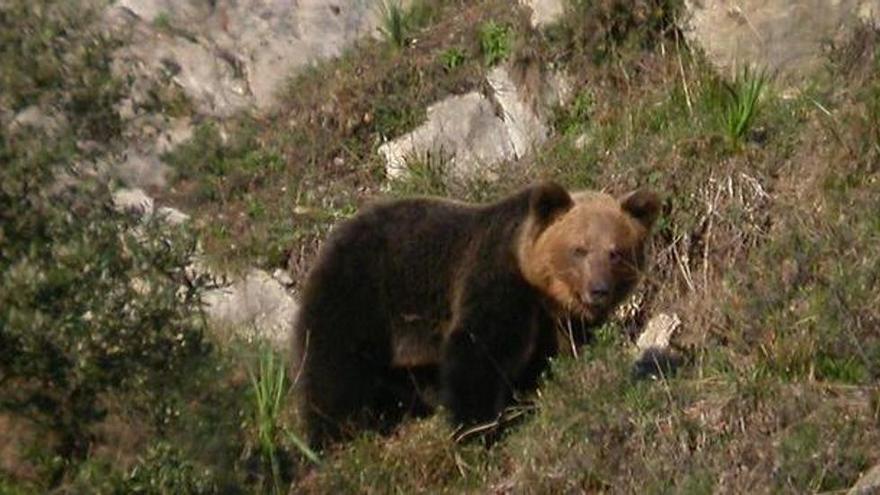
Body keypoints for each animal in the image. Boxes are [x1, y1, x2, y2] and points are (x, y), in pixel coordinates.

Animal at [292, 181, 656, 450]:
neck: (540, 288)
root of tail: (333, 234)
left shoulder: (559, 321)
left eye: (616, 252)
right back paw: (333, 436)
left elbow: (559, 354)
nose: (599, 290)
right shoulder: (495, 278)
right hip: (362, 293)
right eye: (579, 249)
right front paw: (475, 429)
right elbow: (478, 350)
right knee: (333, 368)